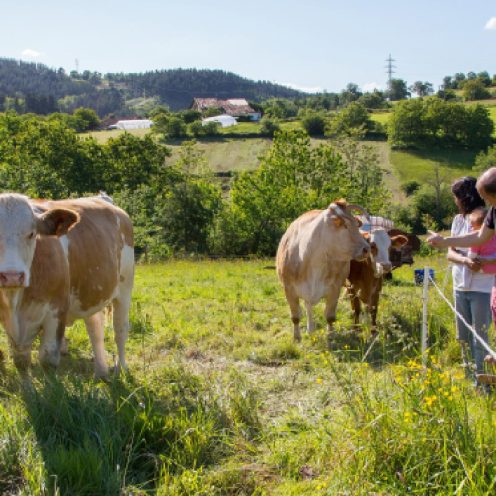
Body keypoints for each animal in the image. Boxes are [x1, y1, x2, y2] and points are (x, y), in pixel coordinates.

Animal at [0, 194, 134, 376]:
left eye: (32, 234)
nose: (12, 276)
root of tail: (101, 197)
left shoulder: (57, 310)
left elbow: (48, 358)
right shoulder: (9, 321)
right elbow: (20, 361)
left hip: (125, 286)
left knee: (120, 329)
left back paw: (122, 368)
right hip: (91, 292)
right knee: (95, 328)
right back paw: (101, 371)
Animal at [278, 201, 370, 340]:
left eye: (356, 225)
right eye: (345, 226)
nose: (367, 249)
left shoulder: (334, 289)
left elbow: (330, 316)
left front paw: (330, 336)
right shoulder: (288, 289)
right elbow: (295, 317)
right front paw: (297, 338)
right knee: (308, 307)